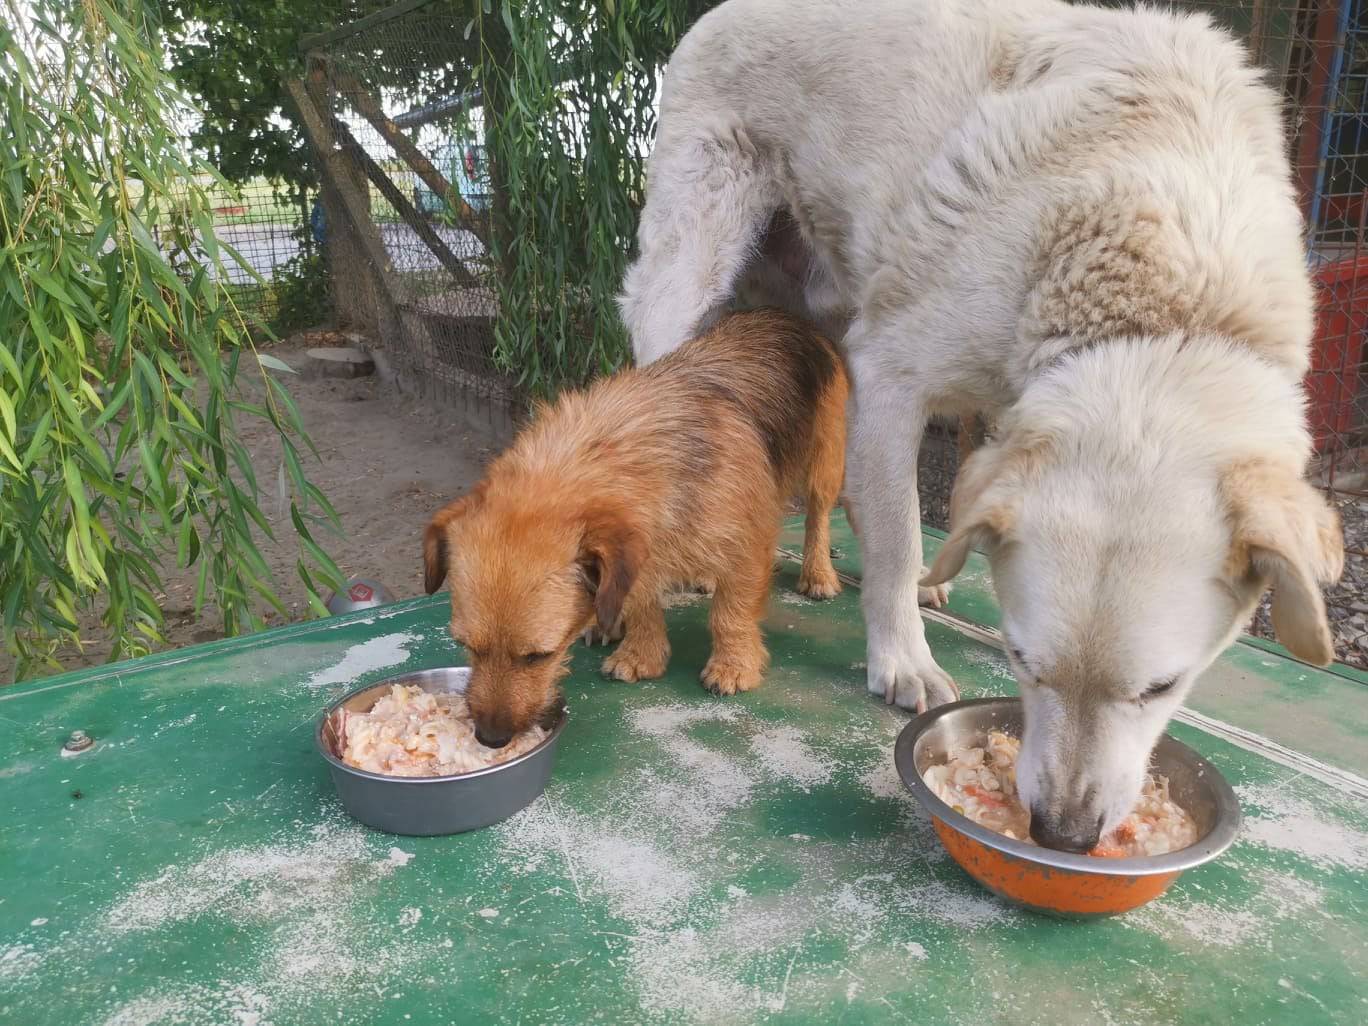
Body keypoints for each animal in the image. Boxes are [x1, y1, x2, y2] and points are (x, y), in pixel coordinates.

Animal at [418, 309, 842, 749]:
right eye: (466, 646)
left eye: (540, 656)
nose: (490, 738)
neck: (613, 453)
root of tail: (777, 315)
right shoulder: (640, 548)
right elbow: (640, 597)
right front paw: (642, 654)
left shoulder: (747, 541)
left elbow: (731, 610)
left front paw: (733, 664)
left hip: (825, 460)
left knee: (818, 515)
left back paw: (817, 573)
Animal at [623, 0, 1346, 853]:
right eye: (1020, 658)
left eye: (1164, 686)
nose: (1064, 834)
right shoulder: (891, 371)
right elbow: (901, 539)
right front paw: (902, 660)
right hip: (692, 282)